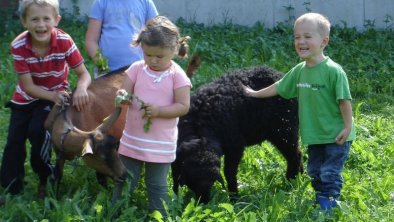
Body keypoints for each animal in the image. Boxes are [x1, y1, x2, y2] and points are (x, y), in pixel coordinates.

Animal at [171, 66, 304, 203]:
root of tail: (280, 75)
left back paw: (290, 182)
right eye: (192, 183)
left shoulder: (235, 146)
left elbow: (229, 172)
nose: (204, 203)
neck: (199, 127)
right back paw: (299, 177)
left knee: (295, 155)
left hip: (284, 130)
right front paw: (174, 198)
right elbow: (175, 176)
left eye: (211, 182)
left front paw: (234, 197)